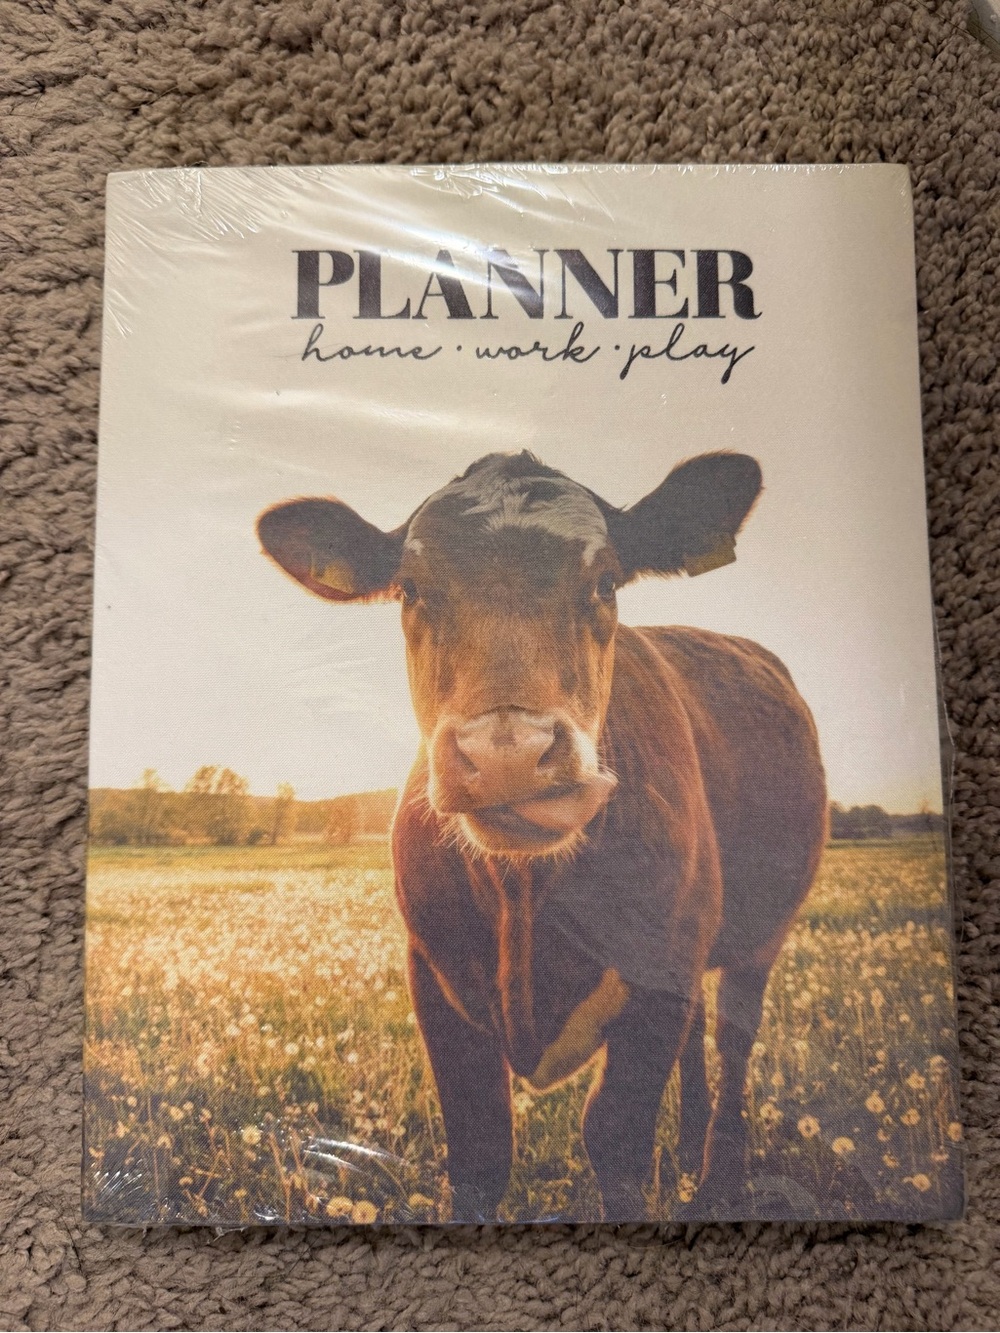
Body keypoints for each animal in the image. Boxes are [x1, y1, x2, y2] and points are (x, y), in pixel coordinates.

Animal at [257, 450, 827, 1222]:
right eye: (411, 589)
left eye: (606, 582)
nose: (507, 751)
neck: (523, 895)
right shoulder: (434, 975)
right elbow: (480, 1149)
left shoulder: (662, 975)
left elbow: (614, 1139)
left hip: (757, 936)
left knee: (735, 1038)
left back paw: (718, 1177)